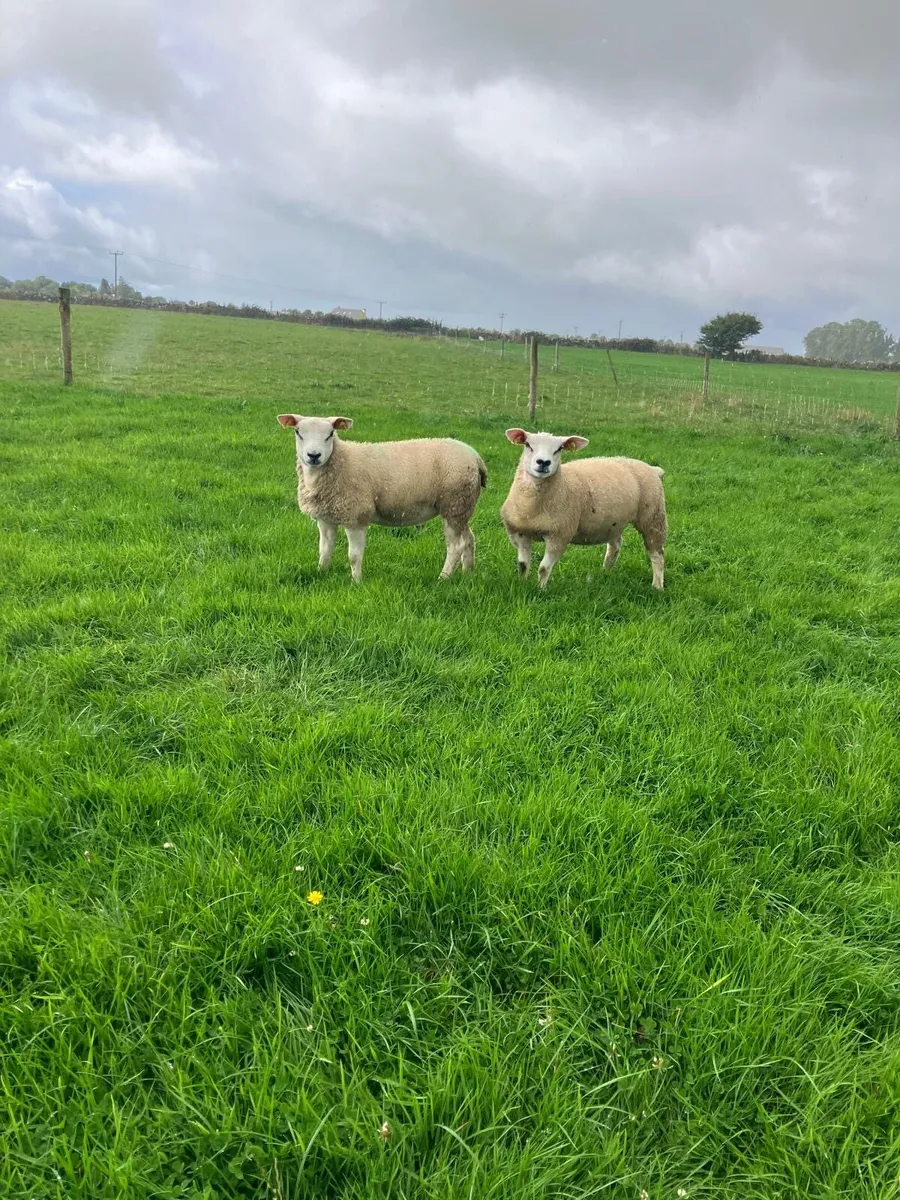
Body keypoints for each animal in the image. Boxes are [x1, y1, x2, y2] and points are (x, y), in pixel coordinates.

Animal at [277, 413, 487, 582]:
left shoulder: (357, 516)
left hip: (454, 503)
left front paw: (356, 582)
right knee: (469, 538)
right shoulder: (326, 517)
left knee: (456, 546)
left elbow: (354, 556)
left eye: (330, 434)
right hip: (463, 507)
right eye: (298, 433)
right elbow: (325, 550)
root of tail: (476, 458)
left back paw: (443, 578)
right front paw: (321, 572)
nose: (314, 455)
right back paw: (468, 573)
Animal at [499, 428, 667, 591]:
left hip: (653, 517)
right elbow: (522, 565)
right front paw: (522, 584)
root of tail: (652, 468)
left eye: (559, 449)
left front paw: (540, 589)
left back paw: (657, 586)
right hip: (613, 523)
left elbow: (544, 568)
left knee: (657, 554)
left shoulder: (559, 535)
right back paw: (606, 571)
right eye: (528, 445)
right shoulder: (520, 533)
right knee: (616, 545)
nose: (543, 462)